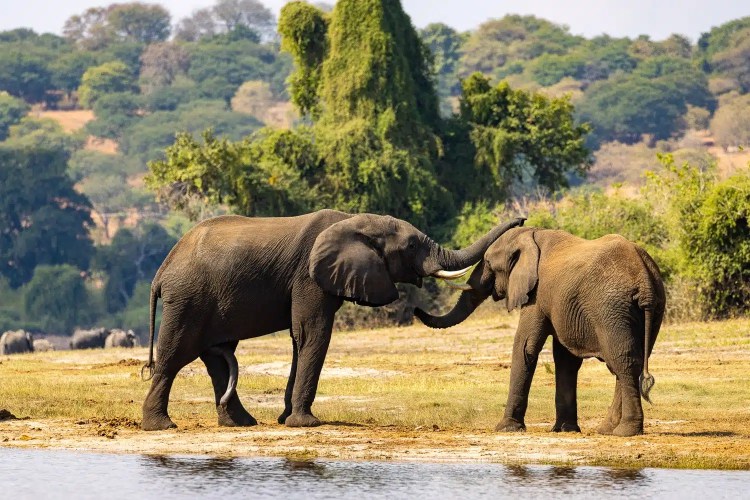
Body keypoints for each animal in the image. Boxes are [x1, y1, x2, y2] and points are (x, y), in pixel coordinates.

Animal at [141, 209, 525, 431]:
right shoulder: (310, 276)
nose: (521, 221)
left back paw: (241, 424)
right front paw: (305, 424)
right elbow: (313, 333)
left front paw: (287, 420)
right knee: (175, 356)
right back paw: (161, 427)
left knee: (217, 358)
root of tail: (161, 270)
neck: (354, 220)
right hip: (188, 298)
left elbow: (300, 338)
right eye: (413, 246)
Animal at [415, 227, 666, 437]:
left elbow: (525, 346)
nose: (416, 309)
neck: (528, 236)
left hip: (611, 309)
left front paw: (505, 428)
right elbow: (565, 358)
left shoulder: (535, 293)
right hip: (653, 309)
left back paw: (624, 432)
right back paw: (607, 430)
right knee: (631, 362)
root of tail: (644, 278)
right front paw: (565, 430)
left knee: (622, 362)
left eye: (488, 262)